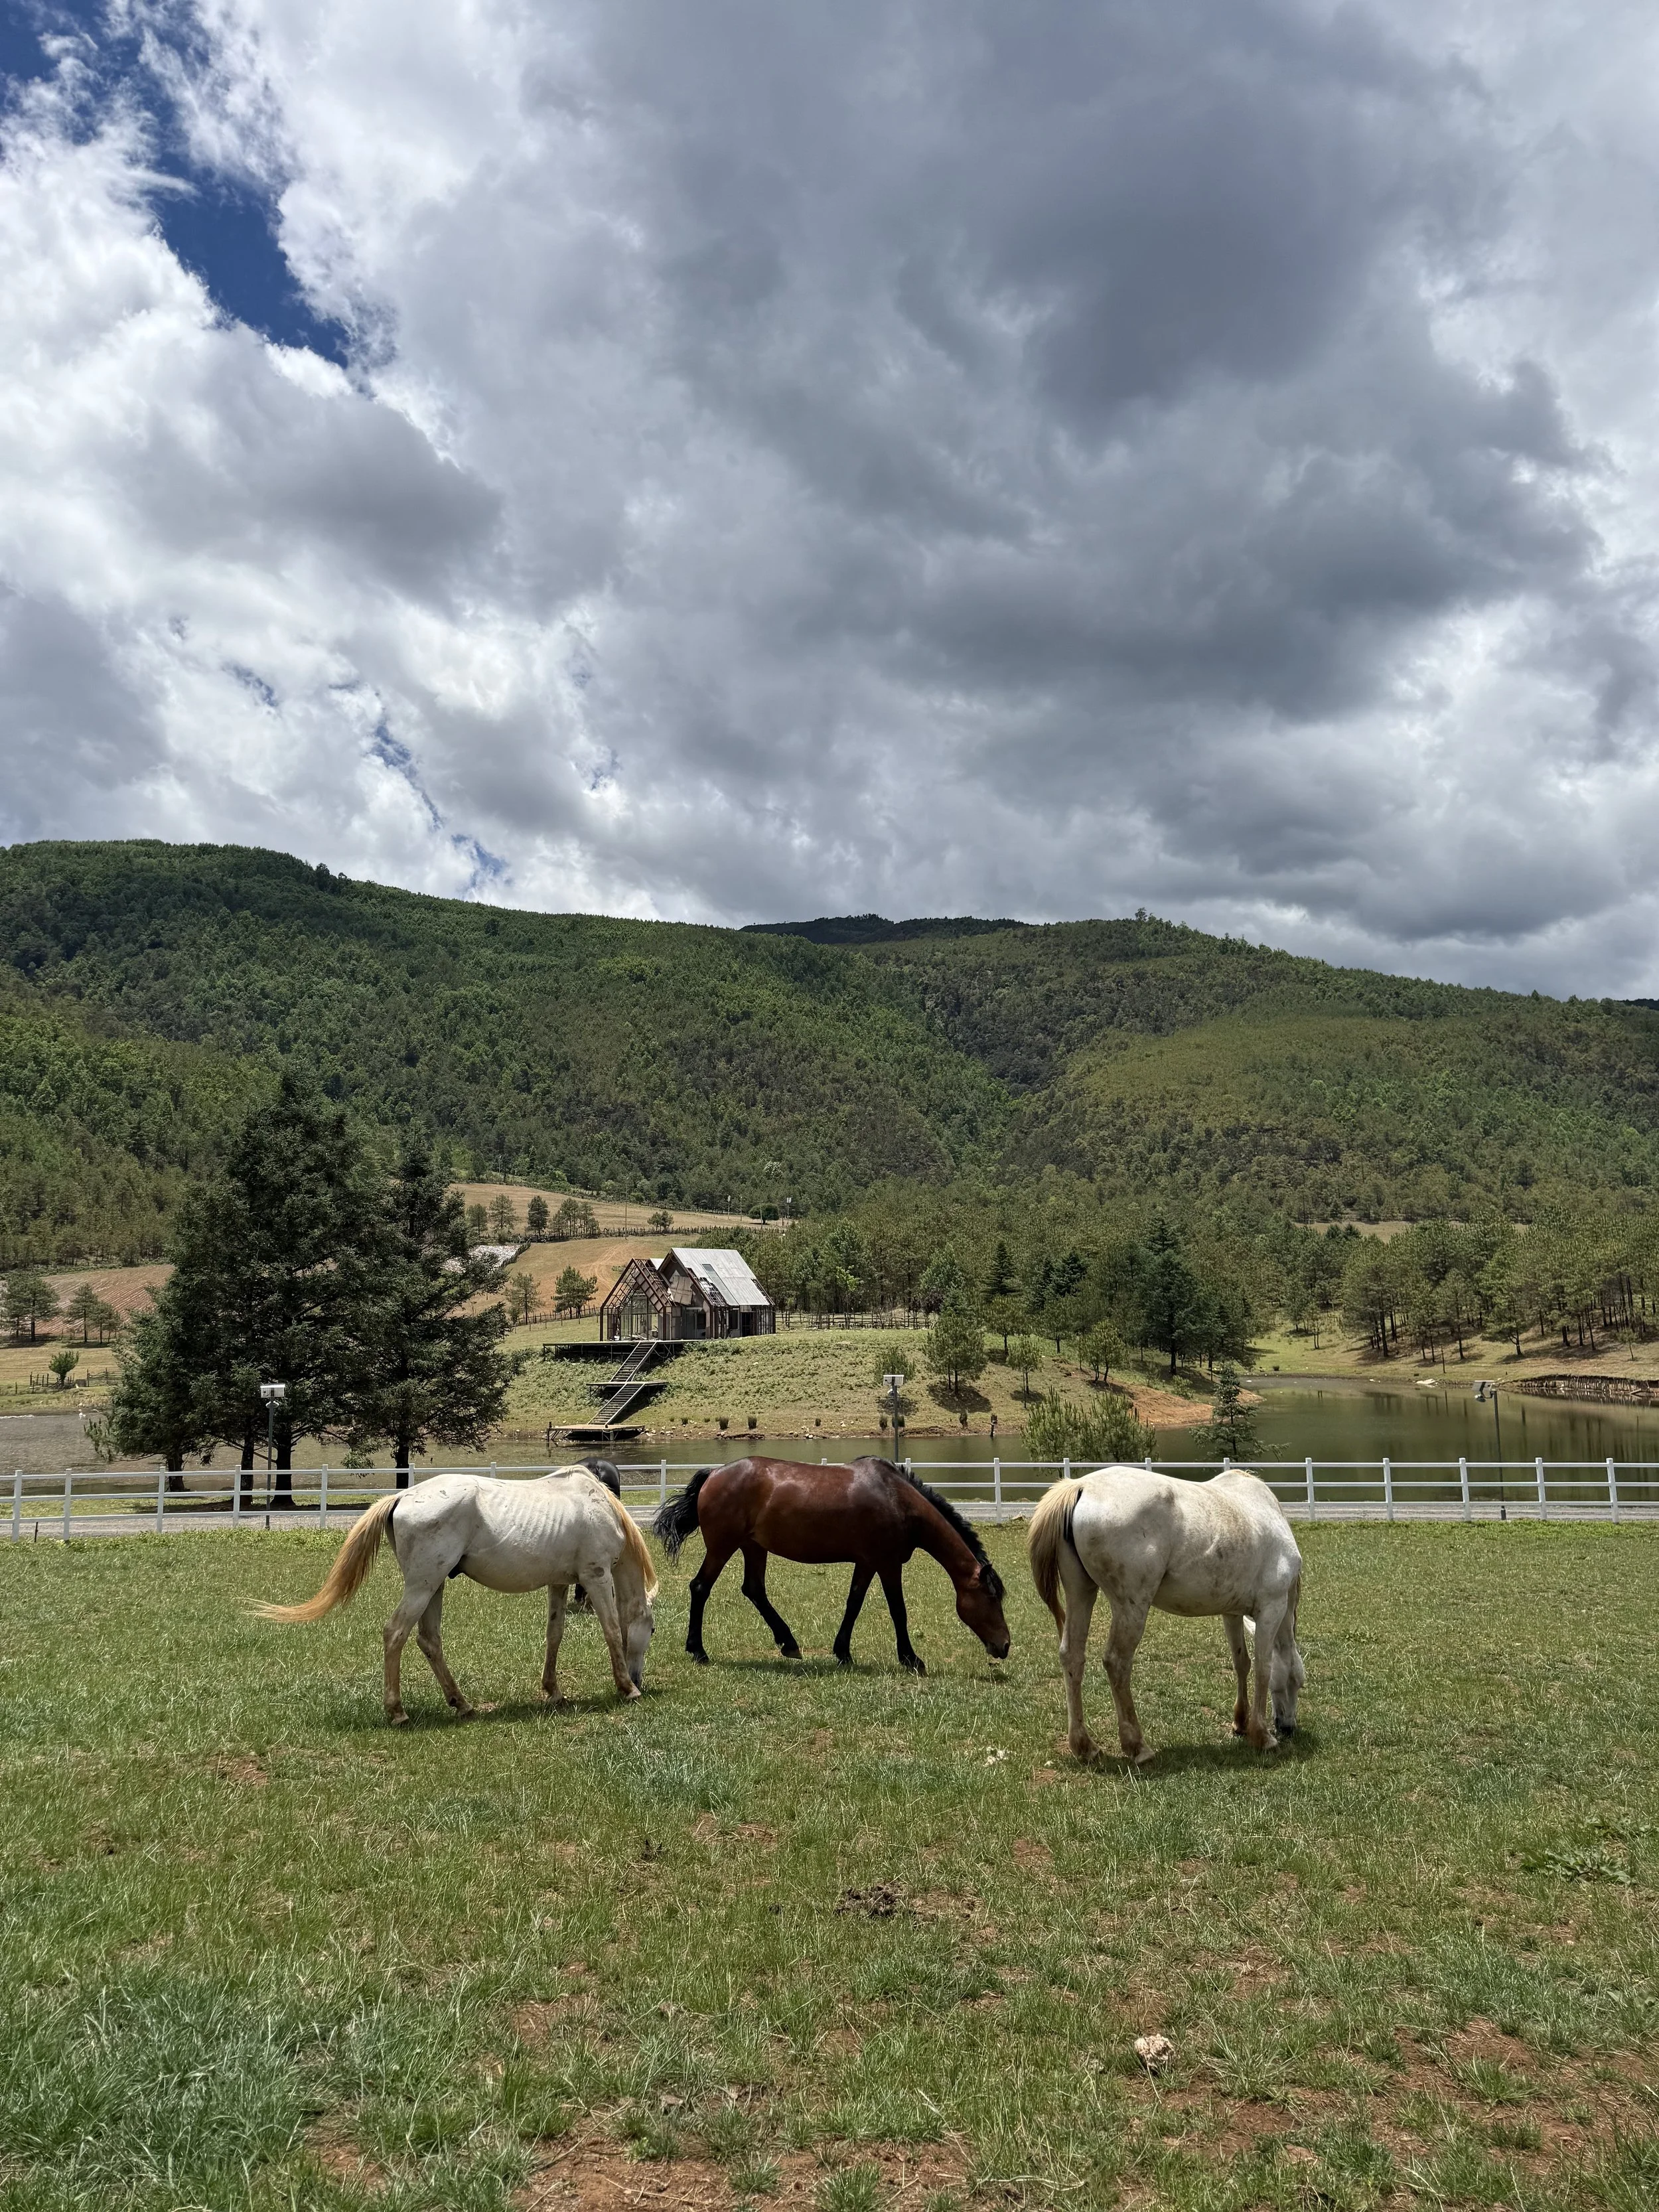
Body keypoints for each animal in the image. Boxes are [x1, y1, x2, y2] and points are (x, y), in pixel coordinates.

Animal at [257, 1465, 658, 1724]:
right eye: (652, 1630)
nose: (639, 1678)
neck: (598, 1506)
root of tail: (403, 1496)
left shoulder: (559, 1583)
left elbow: (554, 1635)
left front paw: (553, 1691)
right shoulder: (596, 1576)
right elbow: (611, 1630)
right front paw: (626, 1689)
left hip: (435, 1586)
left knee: (429, 1640)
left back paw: (461, 1703)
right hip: (422, 1586)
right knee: (395, 1634)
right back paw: (398, 1712)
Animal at [654, 1455, 1010, 1672]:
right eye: (992, 1597)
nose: (1004, 1645)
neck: (896, 1499)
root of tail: (713, 1473)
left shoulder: (867, 1563)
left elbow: (854, 1604)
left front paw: (843, 1653)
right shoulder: (888, 1564)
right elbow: (898, 1611)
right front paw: (911, 1659)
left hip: (753, 1547)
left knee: (754, 1589)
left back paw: (789, 1643)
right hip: (722, 1547)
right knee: (700, 1587)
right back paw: (698, 1651)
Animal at [1028, 1466, 1304, 1762]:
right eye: (1298, 1683)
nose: (1288, 1728)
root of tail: (1081, 1487)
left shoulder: (1232, 1613)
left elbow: (1242, 1663)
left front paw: (1241, 1723)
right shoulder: (1271, 1609)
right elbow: (1265, 1668)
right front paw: (1262, 1736)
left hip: (1081, 1592)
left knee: (1072, 1657)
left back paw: (1085, 1747)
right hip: (1131, 1606)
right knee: (1117, 1662)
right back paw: (1138, 1747)